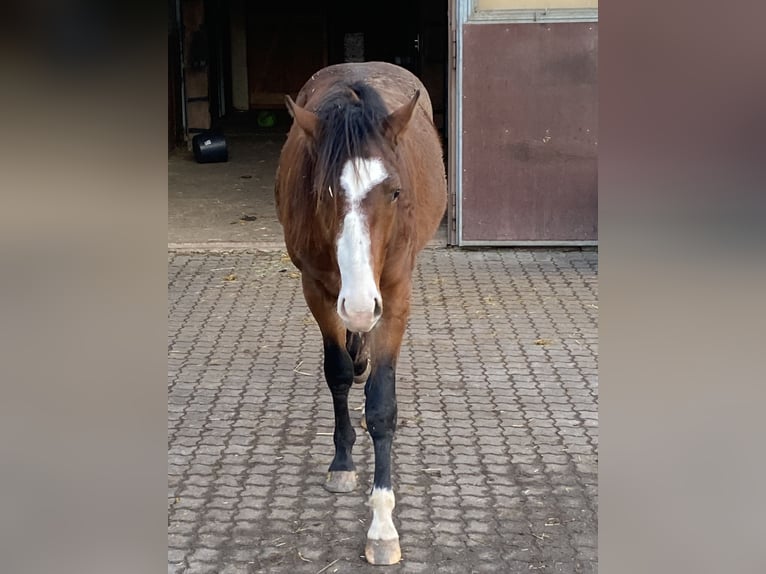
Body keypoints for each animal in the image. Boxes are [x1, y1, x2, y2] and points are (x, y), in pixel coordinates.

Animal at [275, 61, 447, 565]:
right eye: (322, 191)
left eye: (394, 192)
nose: (357, 305)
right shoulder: (316, 289)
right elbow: (336, 373)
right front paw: (342, 462)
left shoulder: (394, 294)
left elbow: (382, 407)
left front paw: (383, 527)